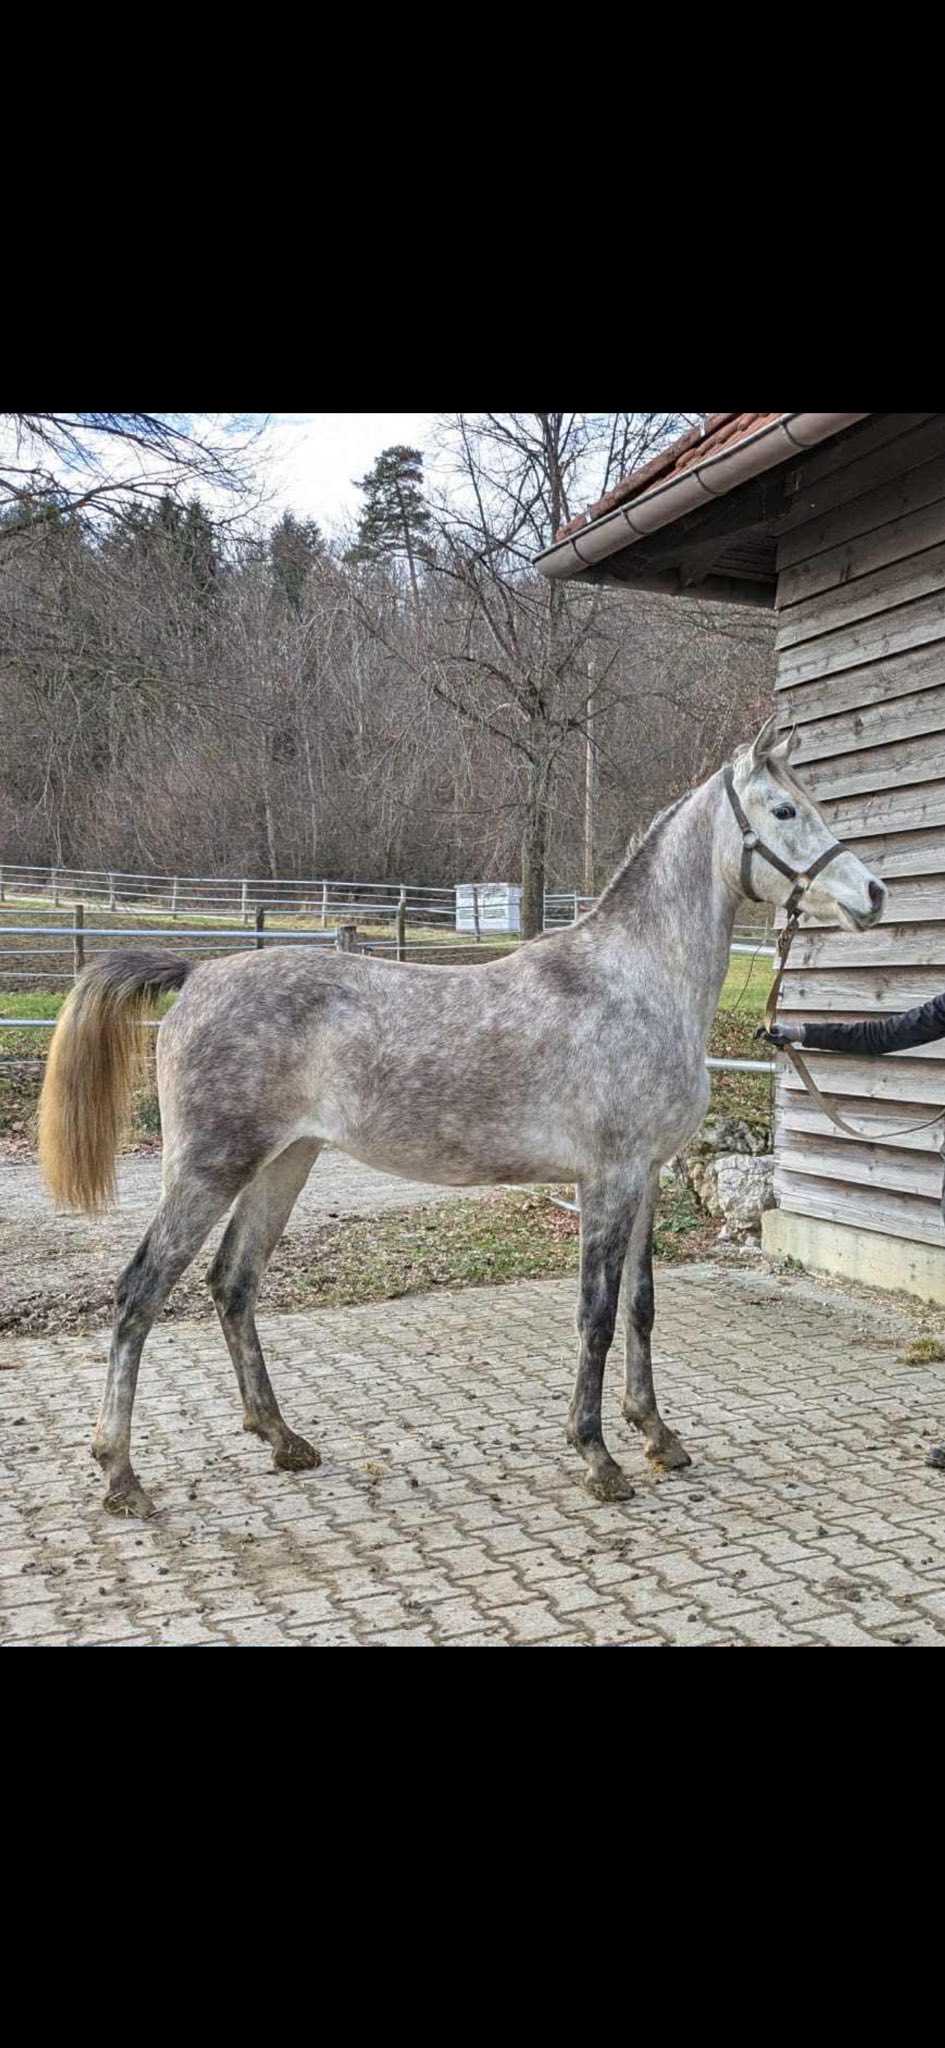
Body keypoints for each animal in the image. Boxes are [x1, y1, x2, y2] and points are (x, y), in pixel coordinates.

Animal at [37, 717, 886, 1516]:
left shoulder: (645, 1177)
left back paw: (282, 1440)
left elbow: (641, 1307)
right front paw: (596, 1456)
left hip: (284, 1163)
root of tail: (198, 973)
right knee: (140, 1292)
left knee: (233, 1284)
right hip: (209, 1169)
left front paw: (657, 1435)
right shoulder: (606, 1179)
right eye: (783, 809)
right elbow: (596, 1313)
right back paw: (121, 1475)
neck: (633, 982)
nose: (873, 894)